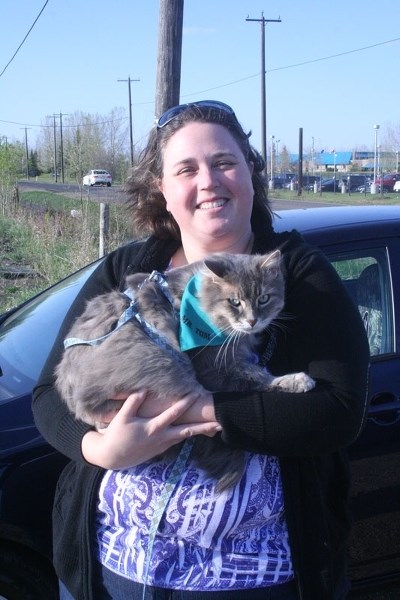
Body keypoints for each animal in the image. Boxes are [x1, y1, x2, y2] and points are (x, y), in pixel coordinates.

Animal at [54, 251, 314, 490]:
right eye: (234, 302)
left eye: (263, 298)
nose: (252, 321)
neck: (200, 300)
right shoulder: (212, 367)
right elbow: (258, 376)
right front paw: (297, 380)